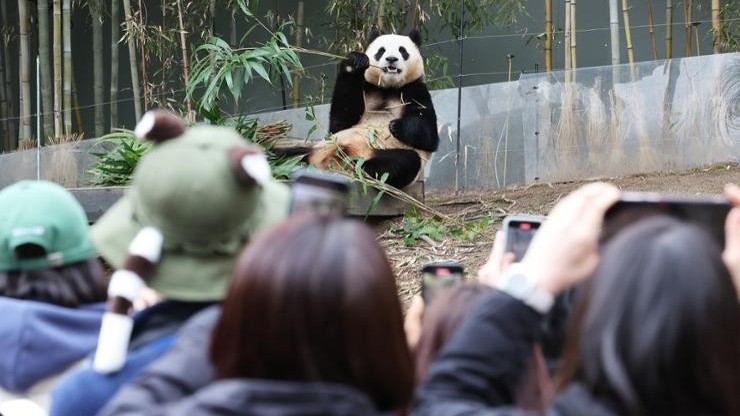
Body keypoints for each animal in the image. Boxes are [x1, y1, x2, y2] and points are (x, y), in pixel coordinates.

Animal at [292, 29, 440, 190]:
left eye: (402, 50)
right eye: (381, 51)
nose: (391, 59)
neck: (388, 88)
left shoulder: (415, 91)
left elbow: (428, 136)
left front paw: (396, 125)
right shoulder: (367, 89)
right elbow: (339, 123)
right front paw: (355, 62)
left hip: (385, 153)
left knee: (399, 163)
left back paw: (360, 166)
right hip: (317, 148)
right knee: (290, 153)